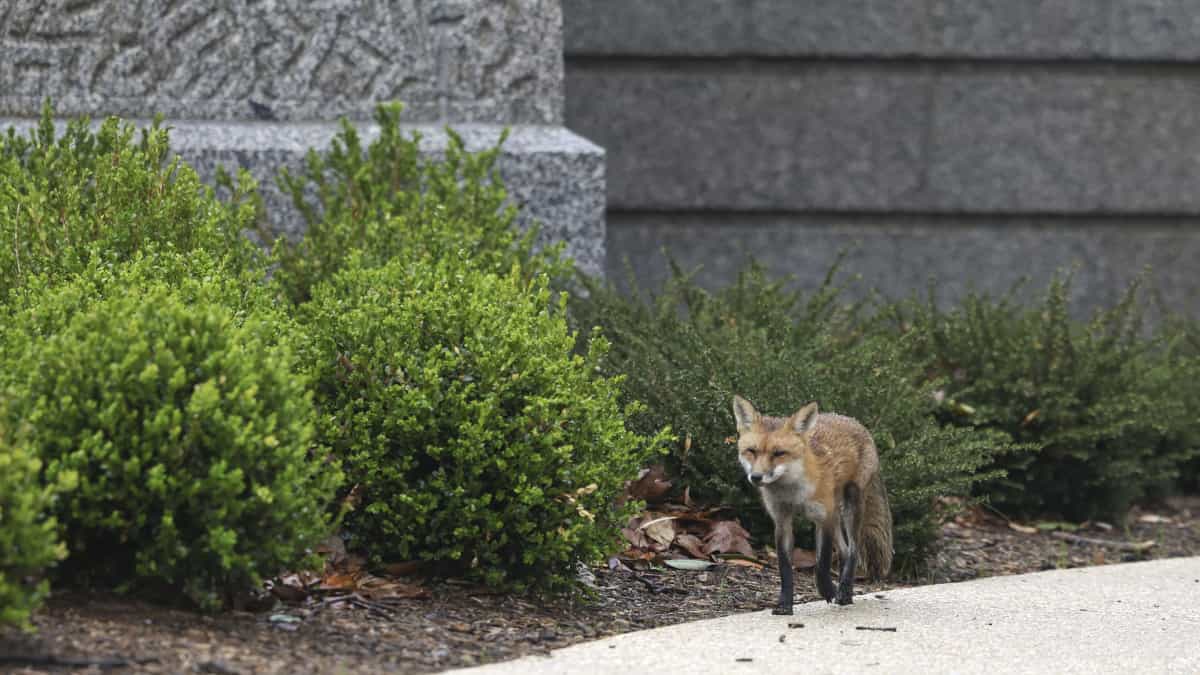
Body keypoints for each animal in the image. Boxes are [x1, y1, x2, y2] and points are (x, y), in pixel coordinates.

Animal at [732, 395, 893, 614]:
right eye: (751, 451)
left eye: (779, 453)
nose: (756, 477)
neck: (793, 493)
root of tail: (856, 422)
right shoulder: (782, 520)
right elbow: (785, 568)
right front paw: (785, 604)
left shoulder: (823, 518)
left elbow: (821, 564)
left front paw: (828, 591)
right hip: (836, 515)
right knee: (844, 551)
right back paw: (847, 591)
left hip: (849, 505)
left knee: (853, 550)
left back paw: (843, 593)